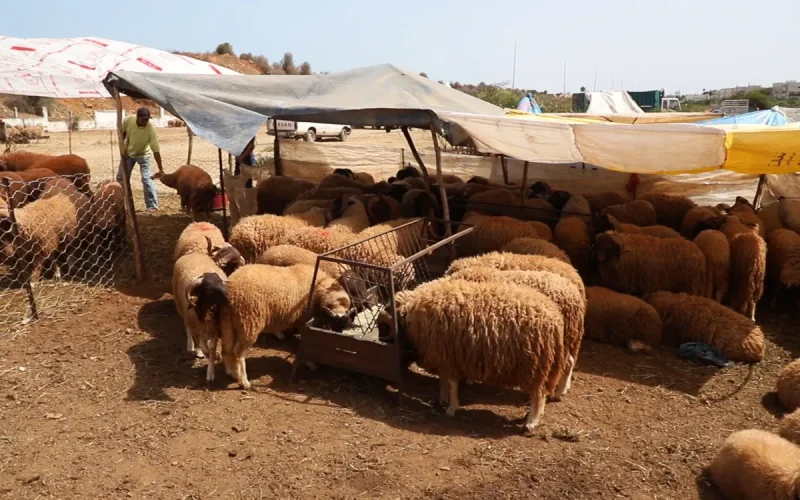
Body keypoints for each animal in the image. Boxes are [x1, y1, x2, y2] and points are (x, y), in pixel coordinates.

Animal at [213, 264, 354, 389]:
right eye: (334, 323)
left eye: (343, 326)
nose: (339, 340)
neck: (320, 289)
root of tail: (231, 288)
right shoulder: (304, 321)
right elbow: (305, 343)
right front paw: (309, 363)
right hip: (249, 321)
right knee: (238, 352)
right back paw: (243, 381)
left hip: (227, 319)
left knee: (226, 348)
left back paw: (231, 372)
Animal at [386, 277, 565, 432]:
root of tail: (556, 319)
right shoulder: (446, 356)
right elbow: (443, 380)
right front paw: (443, 399)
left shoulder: (449, 356)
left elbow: (451, 384)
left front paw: (451, 407)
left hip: (535, 363)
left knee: (538, 394)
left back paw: (531, 422)